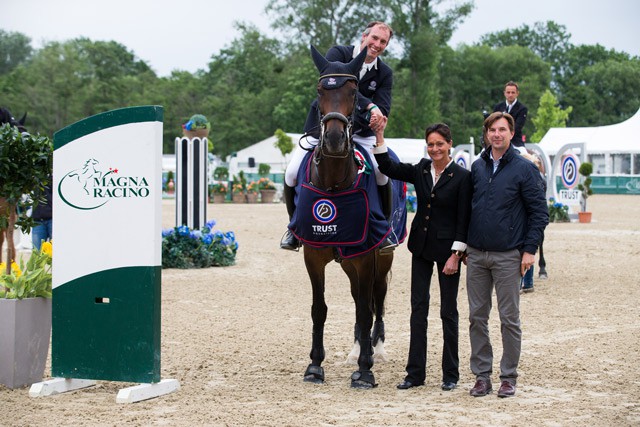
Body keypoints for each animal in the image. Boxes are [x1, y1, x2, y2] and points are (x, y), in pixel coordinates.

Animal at [298, 46, 396, 388]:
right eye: (319, 90)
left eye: (354, 93)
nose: (334, 140)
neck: (334, 182)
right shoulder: (313, 256)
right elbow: (319, 309)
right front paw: (315, 366)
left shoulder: (366, 257)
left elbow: (367, 310)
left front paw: (365, 371)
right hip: (348, 263)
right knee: (357, 298)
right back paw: (356, 350)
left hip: (380, 258)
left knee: (375, 299)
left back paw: (376, 350)